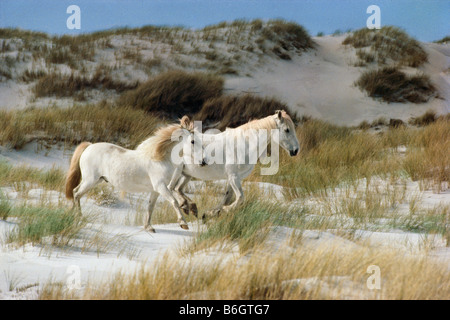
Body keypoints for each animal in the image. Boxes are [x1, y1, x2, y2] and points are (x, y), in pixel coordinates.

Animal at [64, 116, 207, 231]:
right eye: (193, 141)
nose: (203, 162)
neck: (160, 159)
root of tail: (89, 146)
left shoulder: (155, 190)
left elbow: (150, 207)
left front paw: (149, 227)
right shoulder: (161, 187)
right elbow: (174, 202)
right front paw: (183, 223)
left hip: (96, 180)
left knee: (75, 192)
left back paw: (70, 213)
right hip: (90, 180)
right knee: (76, 193)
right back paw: (79, 217)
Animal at [169, 110, 298, 218]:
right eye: (287, 129)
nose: (296, 150)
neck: (245, 144)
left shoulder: (235, 177)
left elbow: (227, 197)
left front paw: (211, 213)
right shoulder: (233, 176)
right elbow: (240, 198)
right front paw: (222, 211)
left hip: (186, 174)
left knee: (177, 189)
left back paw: (189, 207)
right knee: (171, 188)